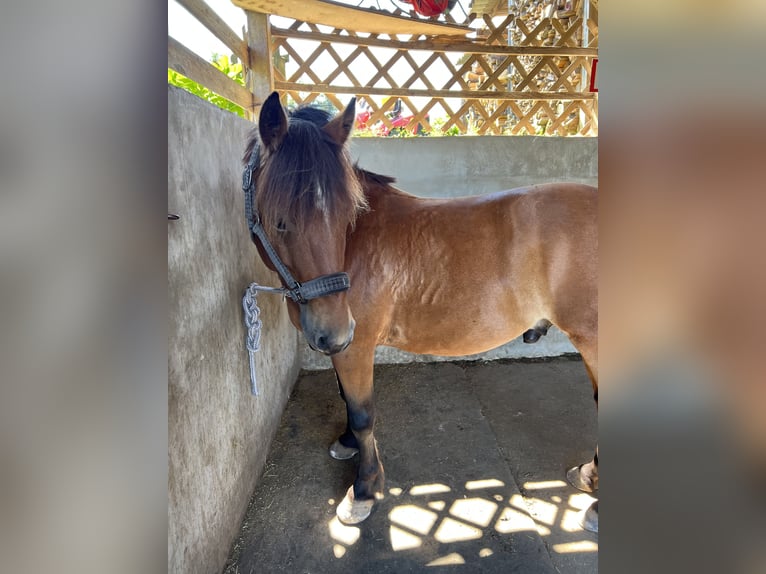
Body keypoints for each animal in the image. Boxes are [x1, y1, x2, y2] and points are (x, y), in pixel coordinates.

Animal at [243, 91, 596, 532]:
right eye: (280, 222)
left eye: (346, 218)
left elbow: (363, 415)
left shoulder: (355, 346)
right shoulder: (344, 346)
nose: (333, 329)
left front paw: (364, 490)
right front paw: (347, 444)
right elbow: (346, 400)